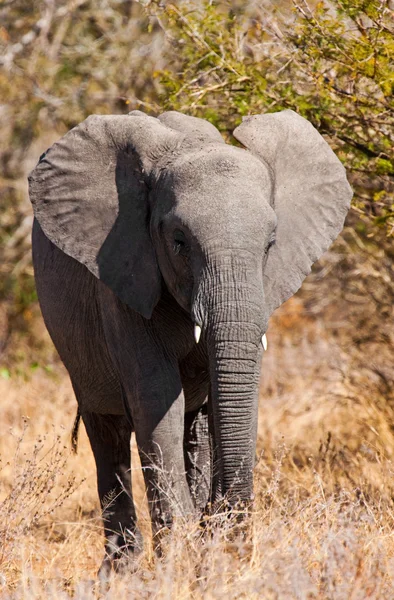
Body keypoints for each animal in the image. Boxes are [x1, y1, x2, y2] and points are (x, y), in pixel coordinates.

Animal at [29, 110, 352, 576]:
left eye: (271, 244)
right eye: (179, 242)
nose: (224, 525)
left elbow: (222, 398)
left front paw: (214, 558)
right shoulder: (123, 273)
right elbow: (156, 398)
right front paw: (178, 564)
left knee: (192, 427)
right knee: (108, 433)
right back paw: (120, 574)